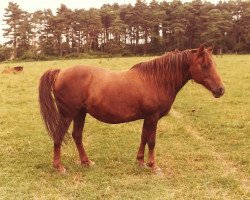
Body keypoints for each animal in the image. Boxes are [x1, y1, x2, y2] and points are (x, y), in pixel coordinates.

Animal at [38, 44, 225, 174]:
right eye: (205, 65)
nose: (221, 90)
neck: (155, 80)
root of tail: (60, 72)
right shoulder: (153, 117)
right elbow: (152, 140)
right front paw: (153, 166)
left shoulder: (147, 118)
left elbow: (143, 138)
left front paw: (141, 162)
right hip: (67, 114)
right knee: (58, 136)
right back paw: (59, 167)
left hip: (80, 113)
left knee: (77, 135)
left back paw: (86, 162)